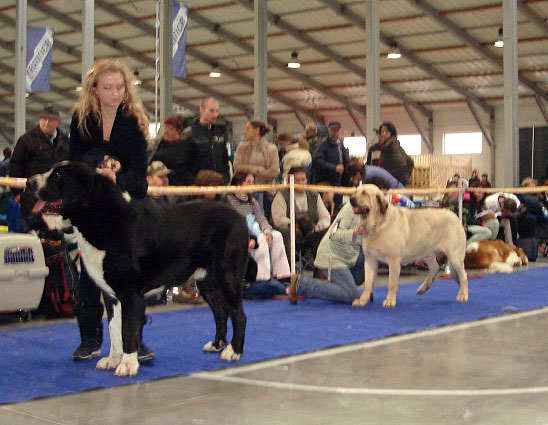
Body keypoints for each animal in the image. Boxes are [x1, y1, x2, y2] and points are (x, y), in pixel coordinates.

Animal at [29, 161, 250, 374]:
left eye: (58, 175)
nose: (29, 181)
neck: (106, 220)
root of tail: (240, 218)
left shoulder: (130, 292)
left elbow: (128, 329)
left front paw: (128, 364)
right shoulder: (112, 295)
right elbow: (114, 329)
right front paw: (113, 360)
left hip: (227, 274)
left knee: (238, 314)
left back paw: (234, 351)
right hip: (207, 281)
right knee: (220, 311)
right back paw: (217, 345)